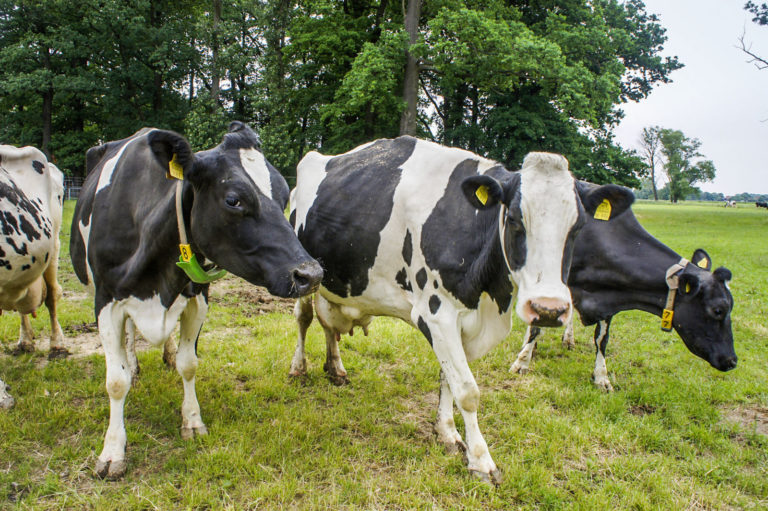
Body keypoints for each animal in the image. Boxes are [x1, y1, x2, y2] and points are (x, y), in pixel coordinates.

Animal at [70, 121, 324, 480]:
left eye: (284, 195)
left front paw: (191, 421)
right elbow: (116, 382)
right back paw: (133, 363)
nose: (310, 274)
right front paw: (112, 451)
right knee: (129, 336)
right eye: (233, 200)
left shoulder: (198, 297)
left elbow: (188, 364)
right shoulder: (106, 301)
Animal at [284, 137, 632, 484]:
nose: (548, 309)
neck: (489, 298)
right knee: (305, 318)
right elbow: (467, 390)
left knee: (329, 325)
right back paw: (299, 368)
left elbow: (448, 379)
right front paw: (481, 460)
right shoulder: (436, 313)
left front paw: (447, 433)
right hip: (305, 275)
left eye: (579, 227)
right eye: (514, 220)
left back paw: (336, 368)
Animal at [508, 184, 736, 392]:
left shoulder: (608, 296)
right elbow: (537, 325)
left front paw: (601, 377)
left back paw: (568, 340)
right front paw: (522, 362)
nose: (732, 360)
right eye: (718, 310)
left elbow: (601, 339)